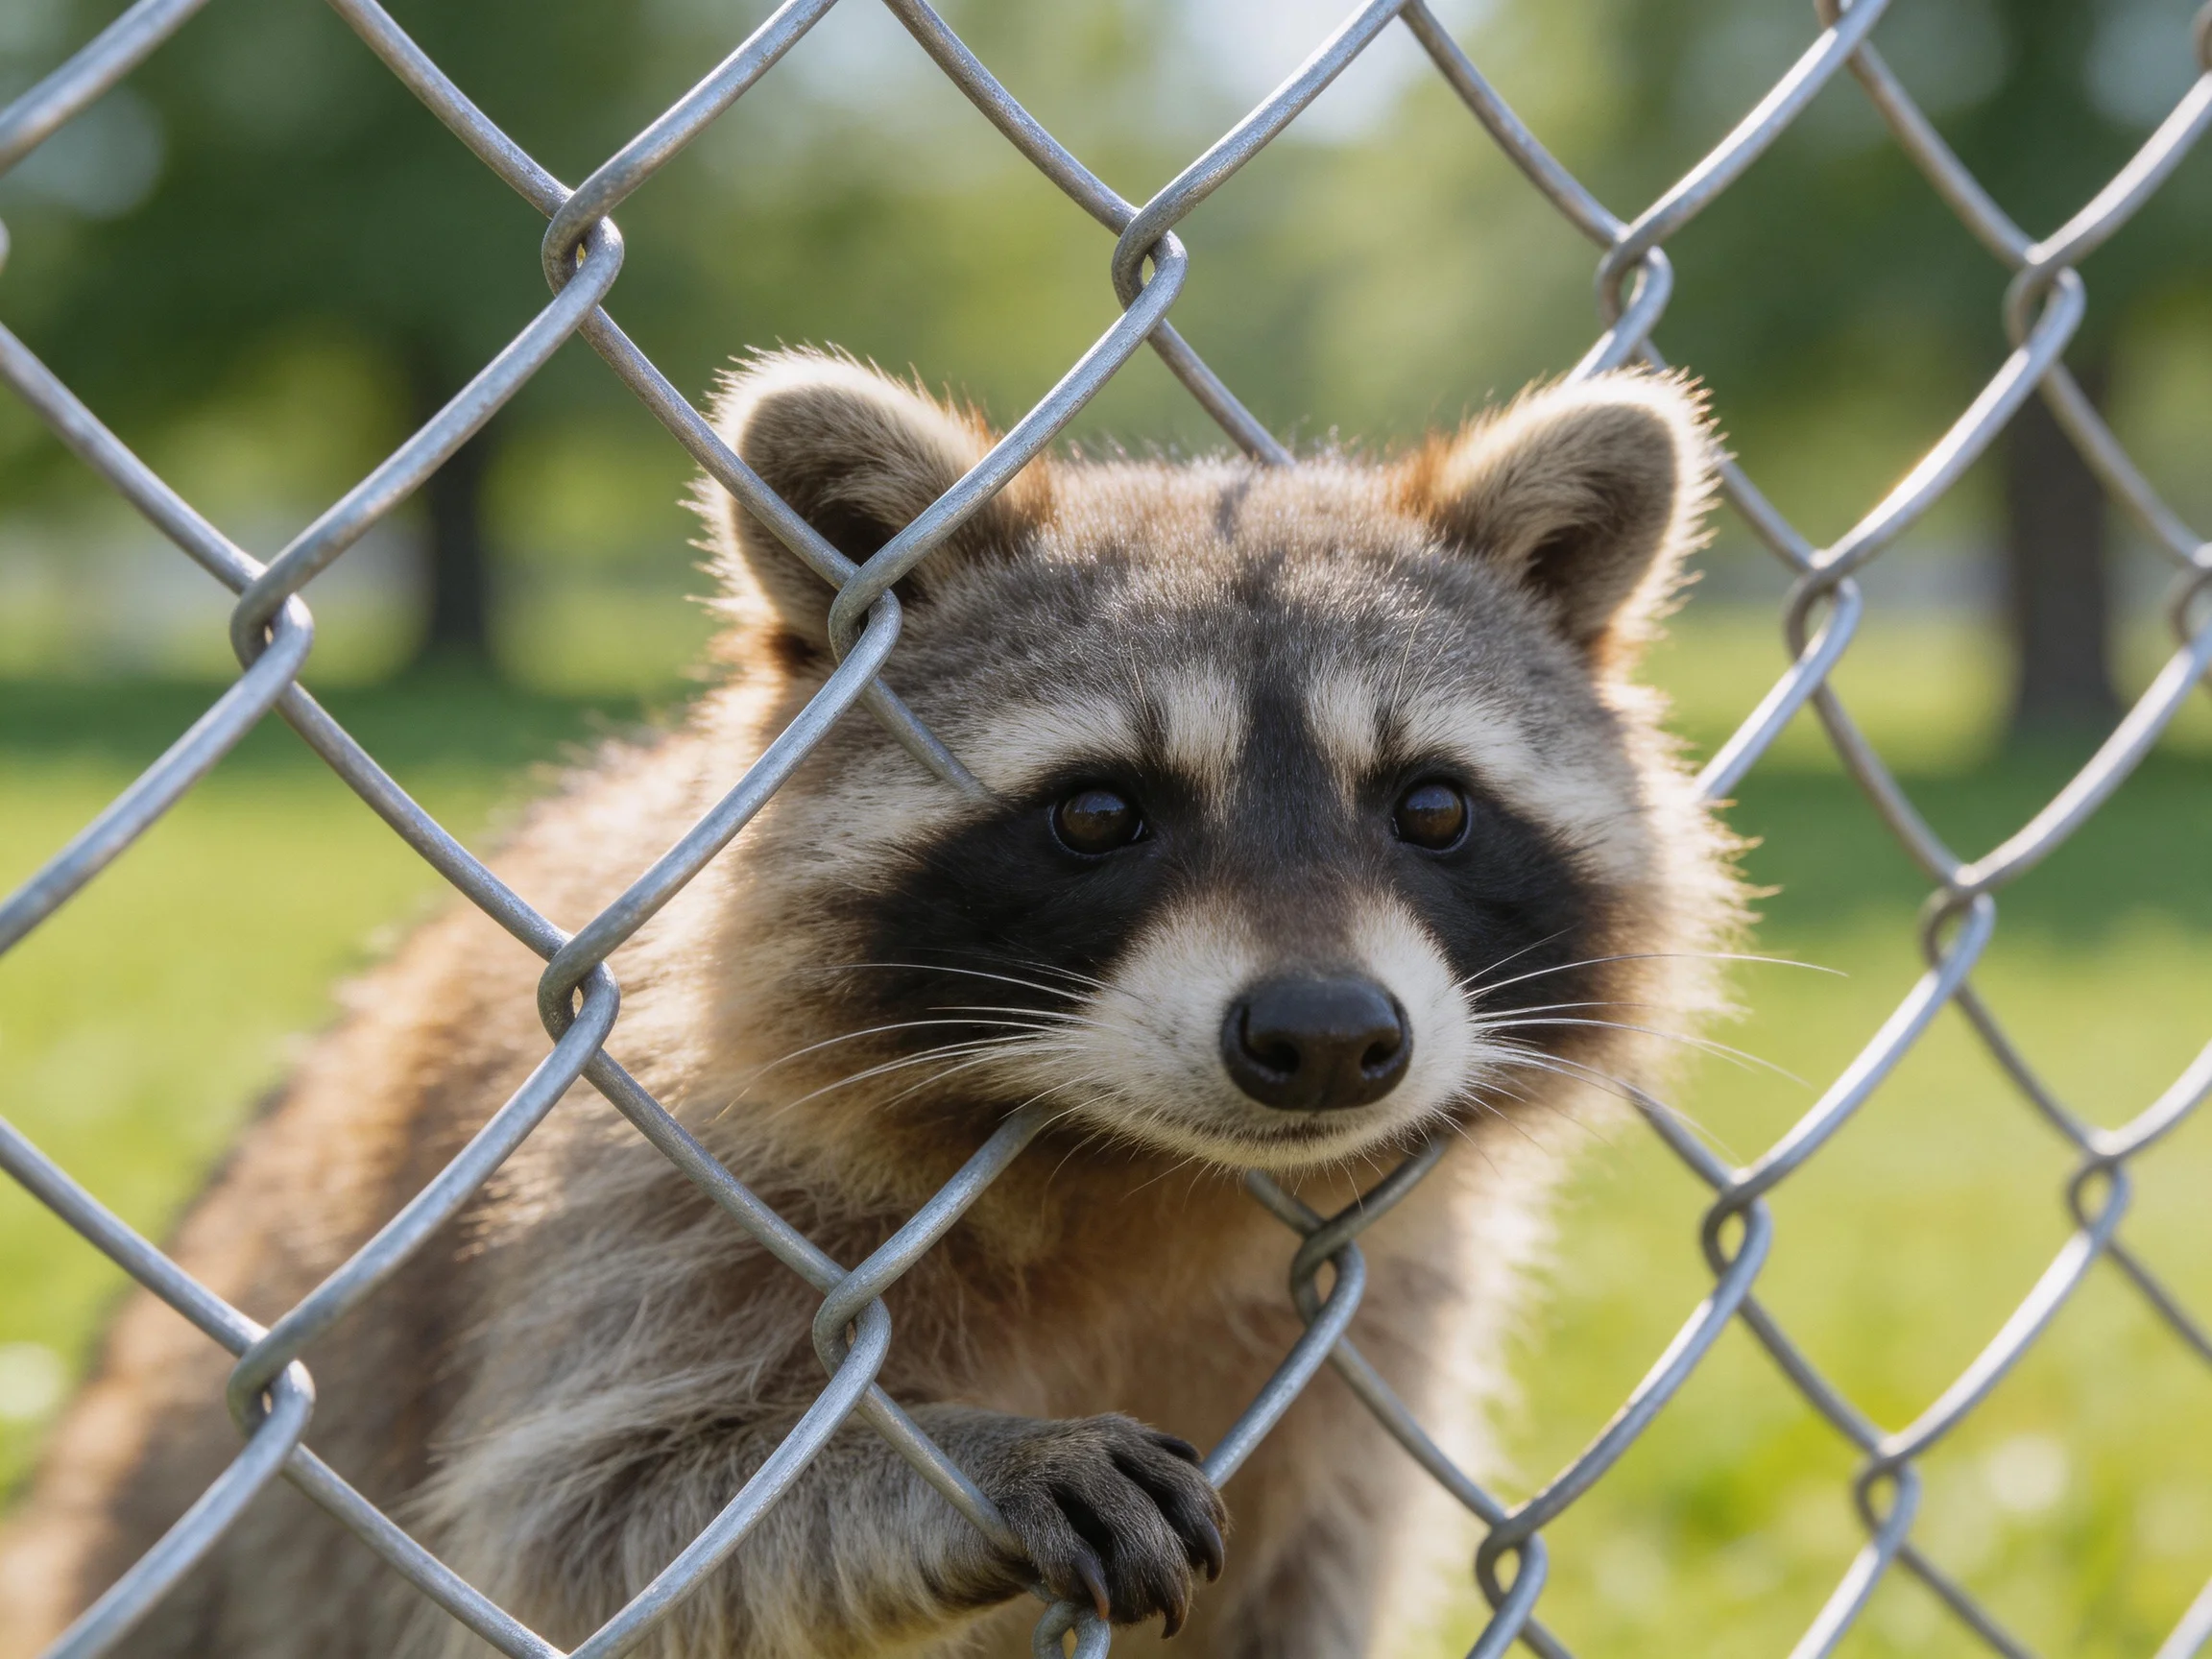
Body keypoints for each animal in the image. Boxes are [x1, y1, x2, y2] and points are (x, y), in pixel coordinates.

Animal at [0, 349, 1737, 1659]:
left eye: (1431, 808)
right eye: (1097, 812)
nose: (1322, 1037)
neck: (1150, 1171)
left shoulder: (1384, 1308)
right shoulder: (651, 1179)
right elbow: (589, 1528)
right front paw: (957, 1461)